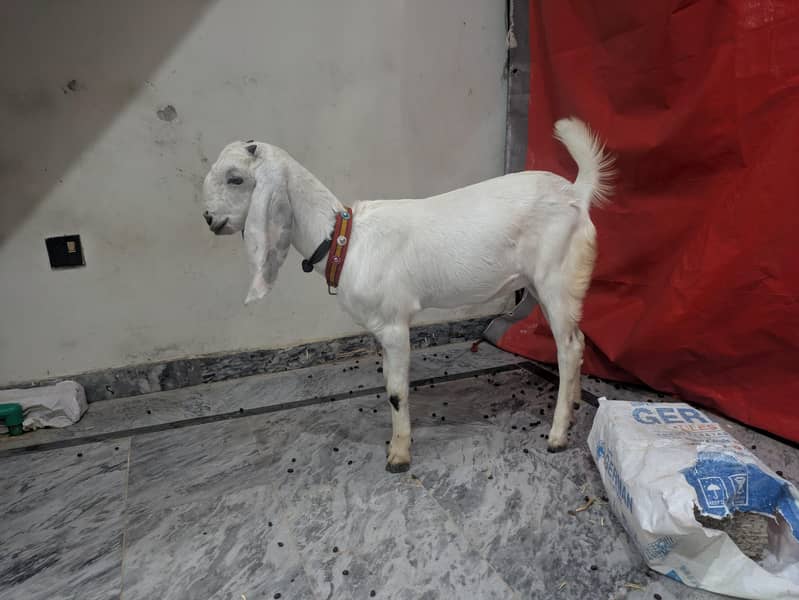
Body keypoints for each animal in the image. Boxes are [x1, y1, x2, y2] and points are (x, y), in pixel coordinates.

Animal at [202, 118, 613, 472]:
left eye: (236, 178)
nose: (208, 219)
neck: (343, 240)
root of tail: (576, 194)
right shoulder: (381, 329)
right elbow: (389, 382)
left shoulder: (395, 324)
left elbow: (397, 392)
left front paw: (398, 456)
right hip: (543, 286)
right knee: (575, 343)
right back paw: (574, 402)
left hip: (557, 277)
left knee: (568, 347)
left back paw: (558, 434)